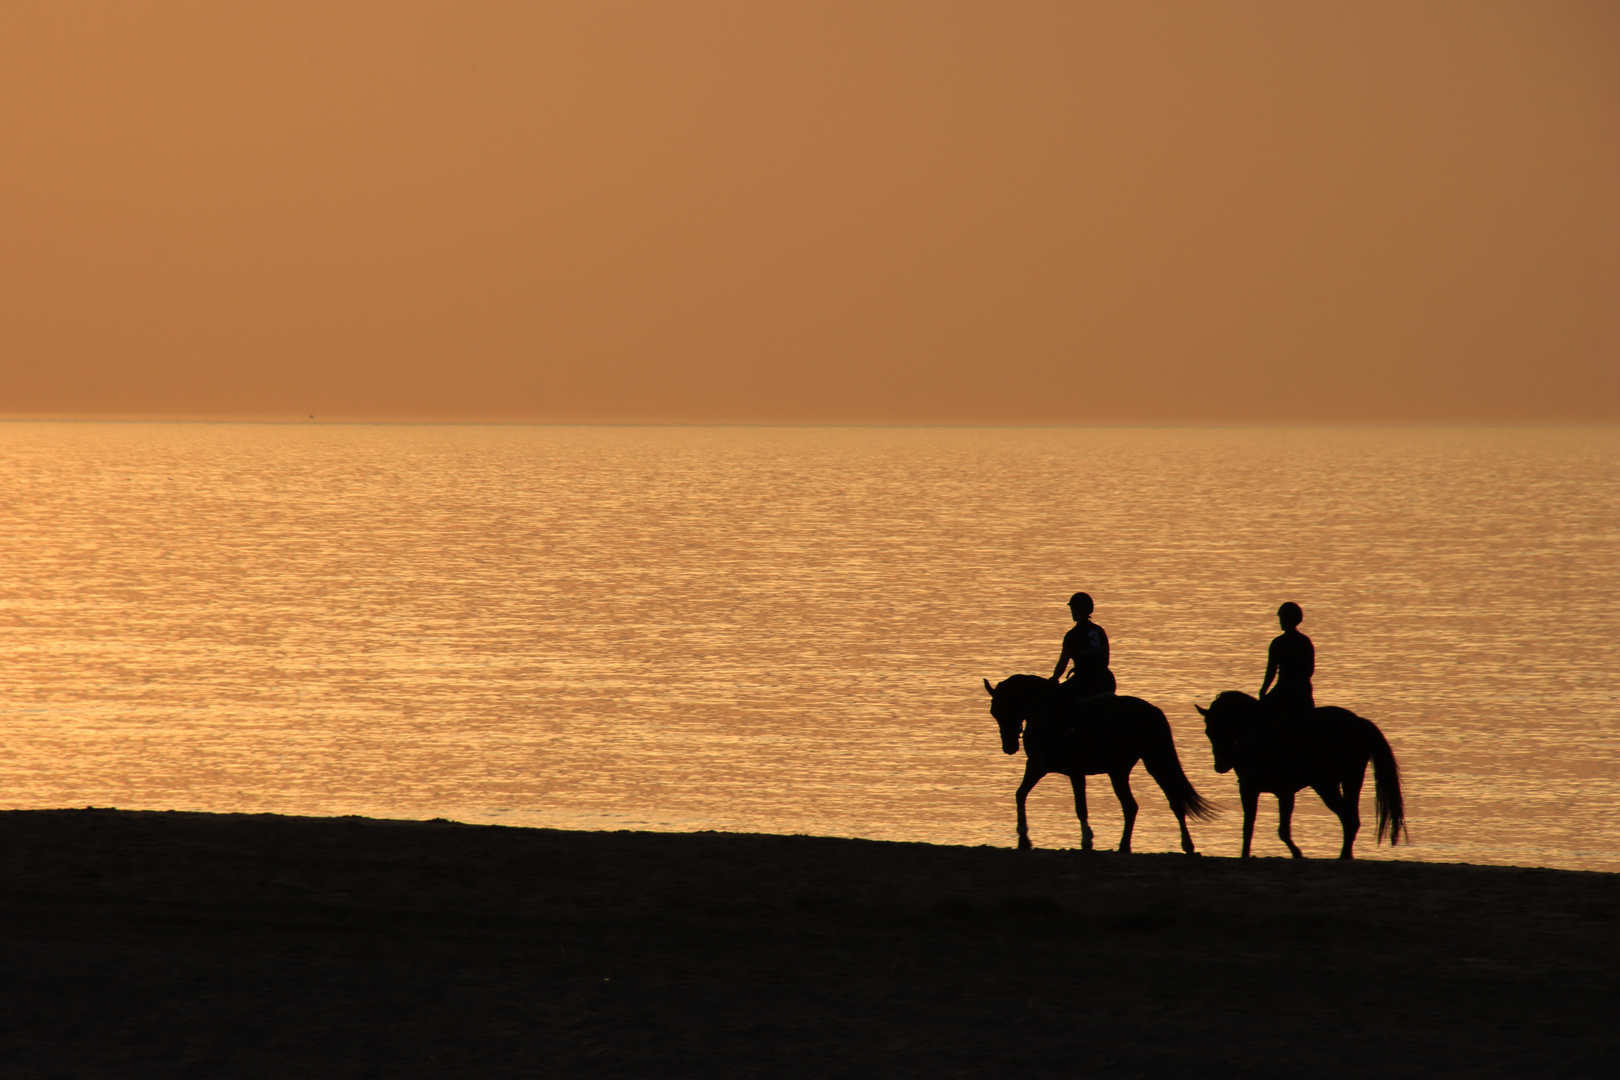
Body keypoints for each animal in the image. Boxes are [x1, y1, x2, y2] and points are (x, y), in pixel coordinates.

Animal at [972, 676, 1218, 854]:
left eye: (999, 710)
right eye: (994, 713)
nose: (1008, 746)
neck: (1043, 708)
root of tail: (1152, 711)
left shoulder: (1058, 769)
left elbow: (1080, 807)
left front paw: (1086, 839)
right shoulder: (1040, 768)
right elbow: (1020, 793)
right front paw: (1023, 835)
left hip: (1135, 765)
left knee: (1147, 802)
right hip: (1133, 766)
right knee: (1151, 803)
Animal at [1192, 693, 1406, 861]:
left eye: (1215, 729)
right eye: (1208, 732)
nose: (1220, 766)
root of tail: (1358, 723)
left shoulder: (1260, 790)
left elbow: (1267, 829)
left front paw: (1296, 854)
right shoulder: (1270, 792)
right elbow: (1260, 828)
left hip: (1326, 784)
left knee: (1348, 817)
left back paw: (1344, 855)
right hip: (1351, 780)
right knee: (1351, 817)